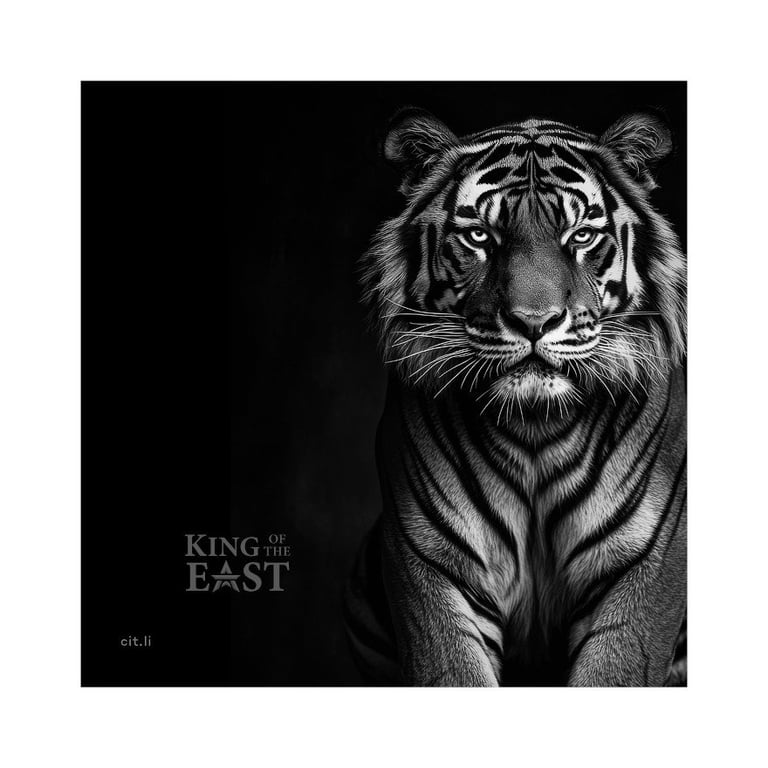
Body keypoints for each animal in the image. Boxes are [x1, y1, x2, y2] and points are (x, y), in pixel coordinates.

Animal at [343, 108, 686, 686]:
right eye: (481, 236)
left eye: (581, 234)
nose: (533, 321)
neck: (535, 424)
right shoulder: (430, 562)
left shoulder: (645, 563)